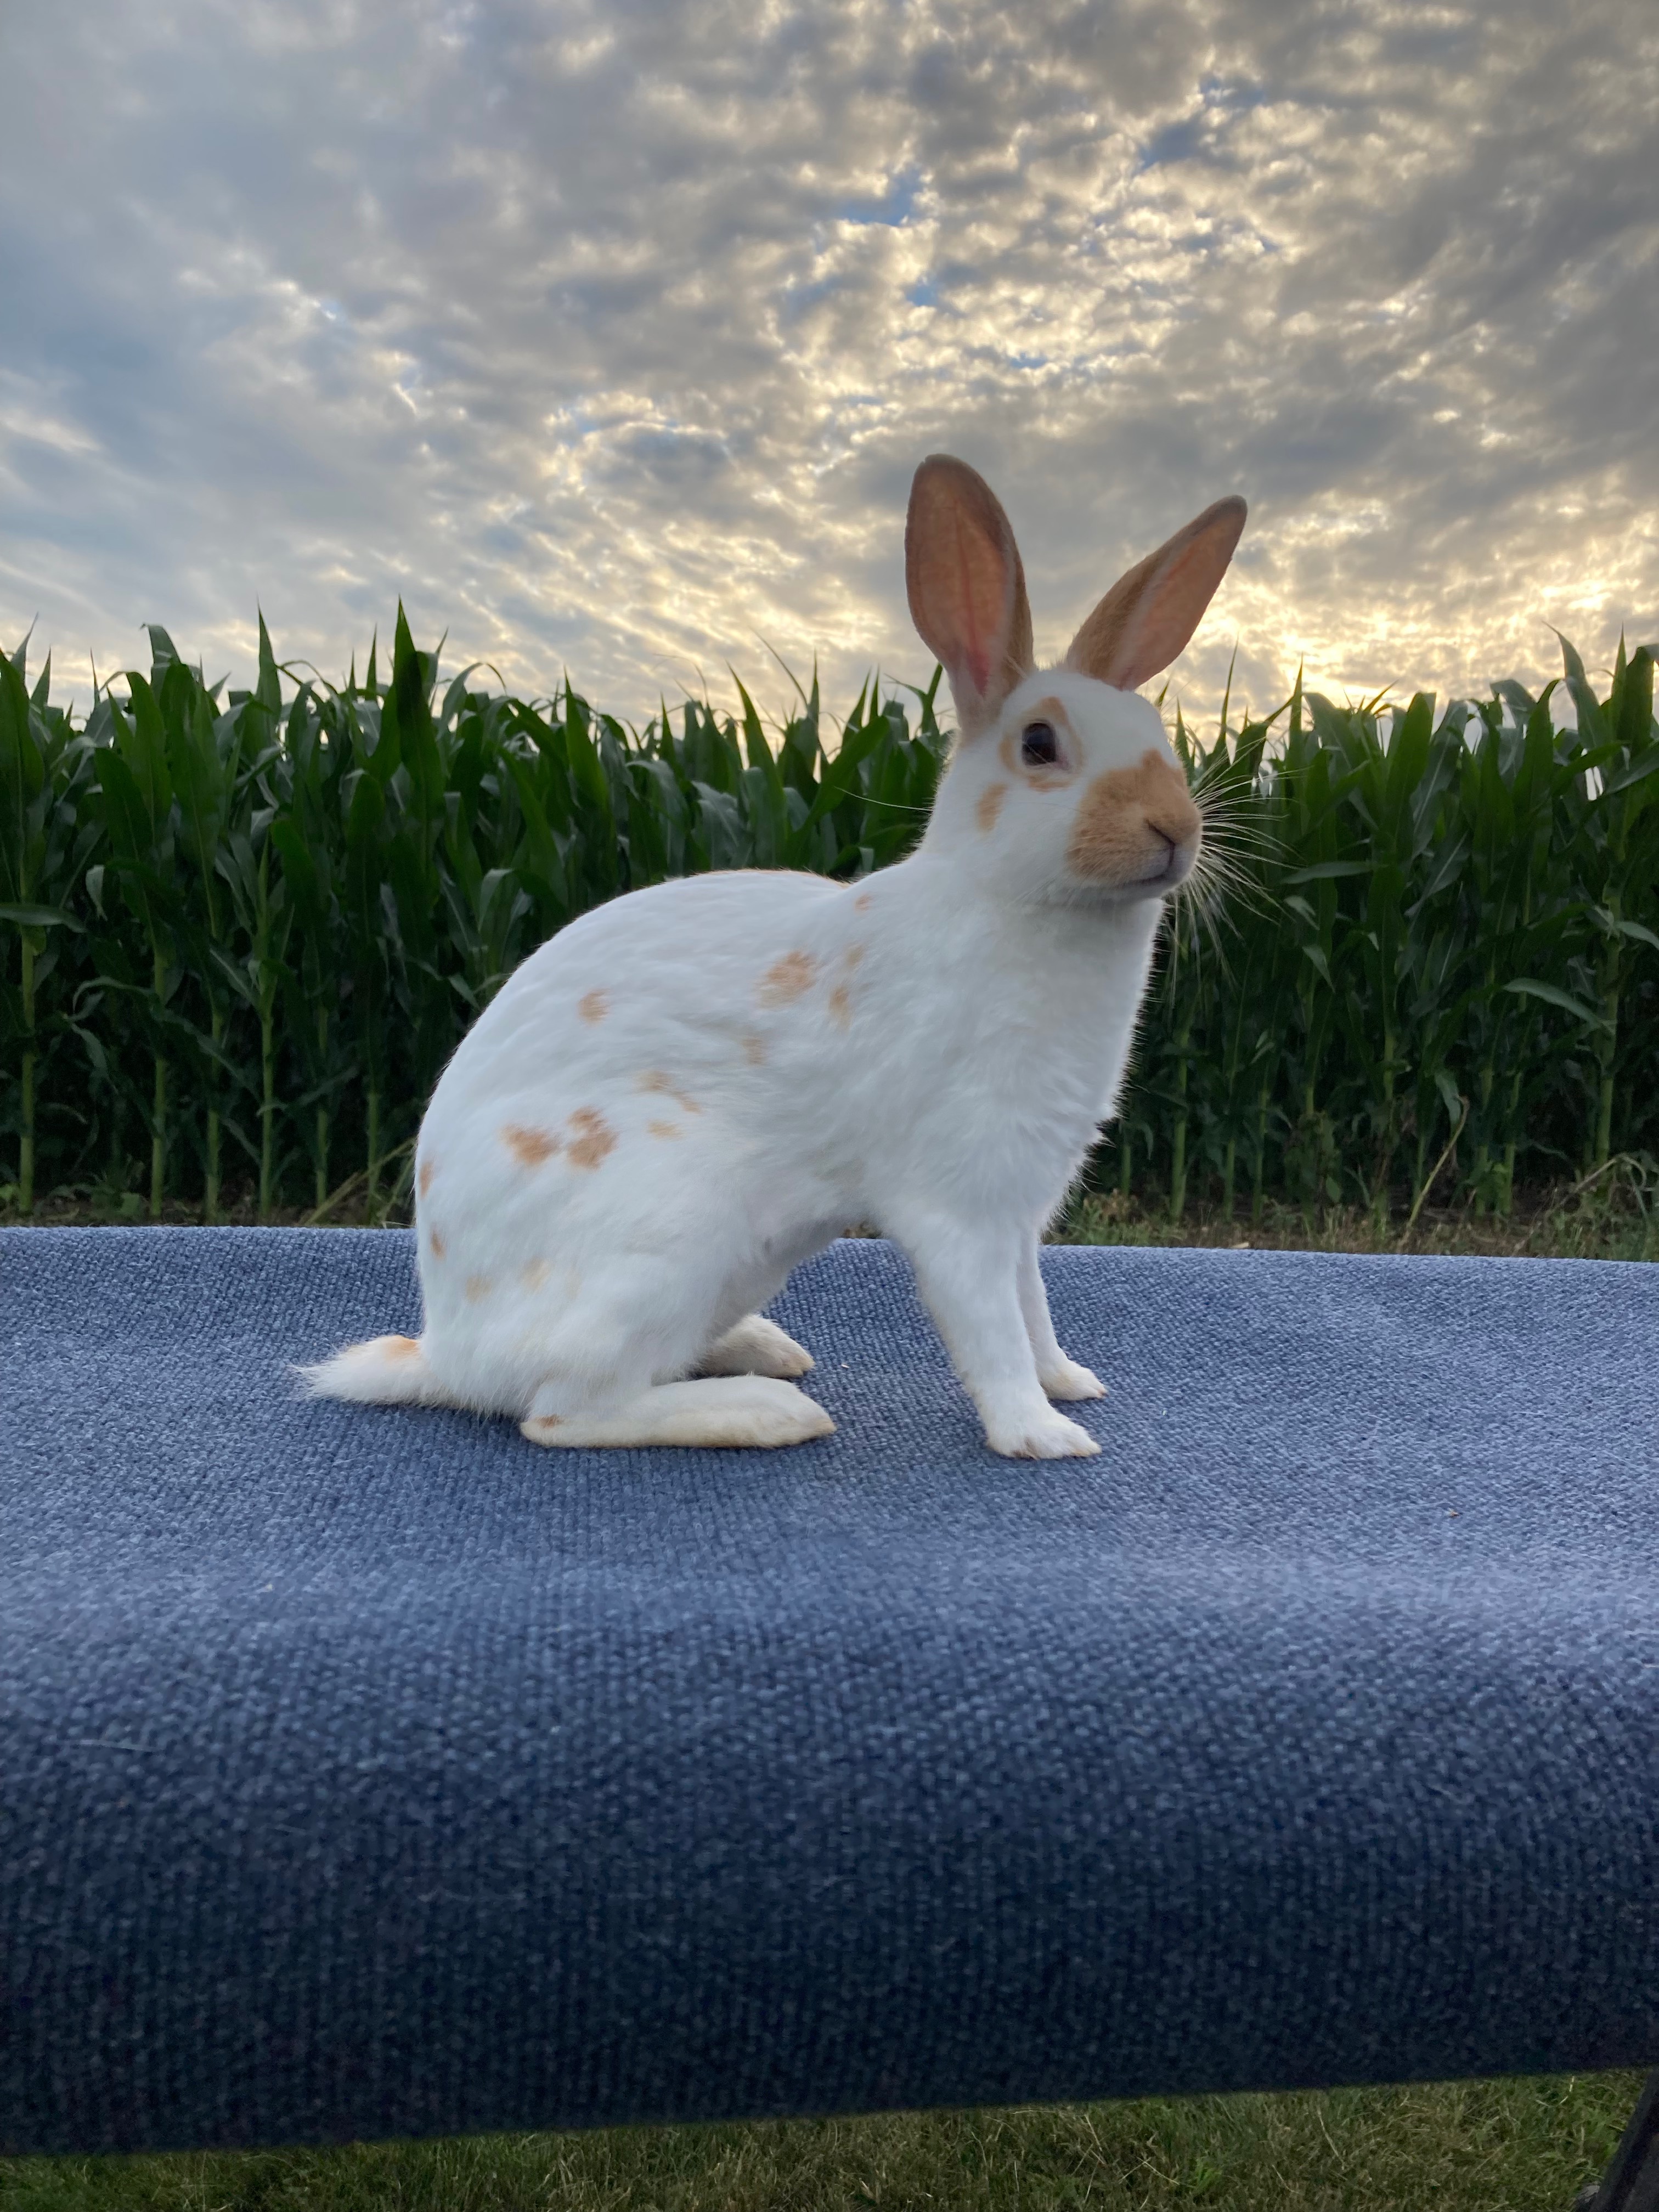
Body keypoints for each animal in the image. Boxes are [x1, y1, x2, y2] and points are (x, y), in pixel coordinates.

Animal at [304, 456, 1244, 1457]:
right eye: (1039, 744)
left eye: (1162, 741)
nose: (1175, 830)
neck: (1004, 903)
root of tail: (449, 1349)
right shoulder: (960, 1209)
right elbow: (990, 1330)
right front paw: (1040, 1435)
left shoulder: (1021, 1212)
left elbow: (1035, 1312)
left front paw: (1070, 1383)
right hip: (670, 1230)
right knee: (565, 1412)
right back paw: (770, 1410)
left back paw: (765, 1351)